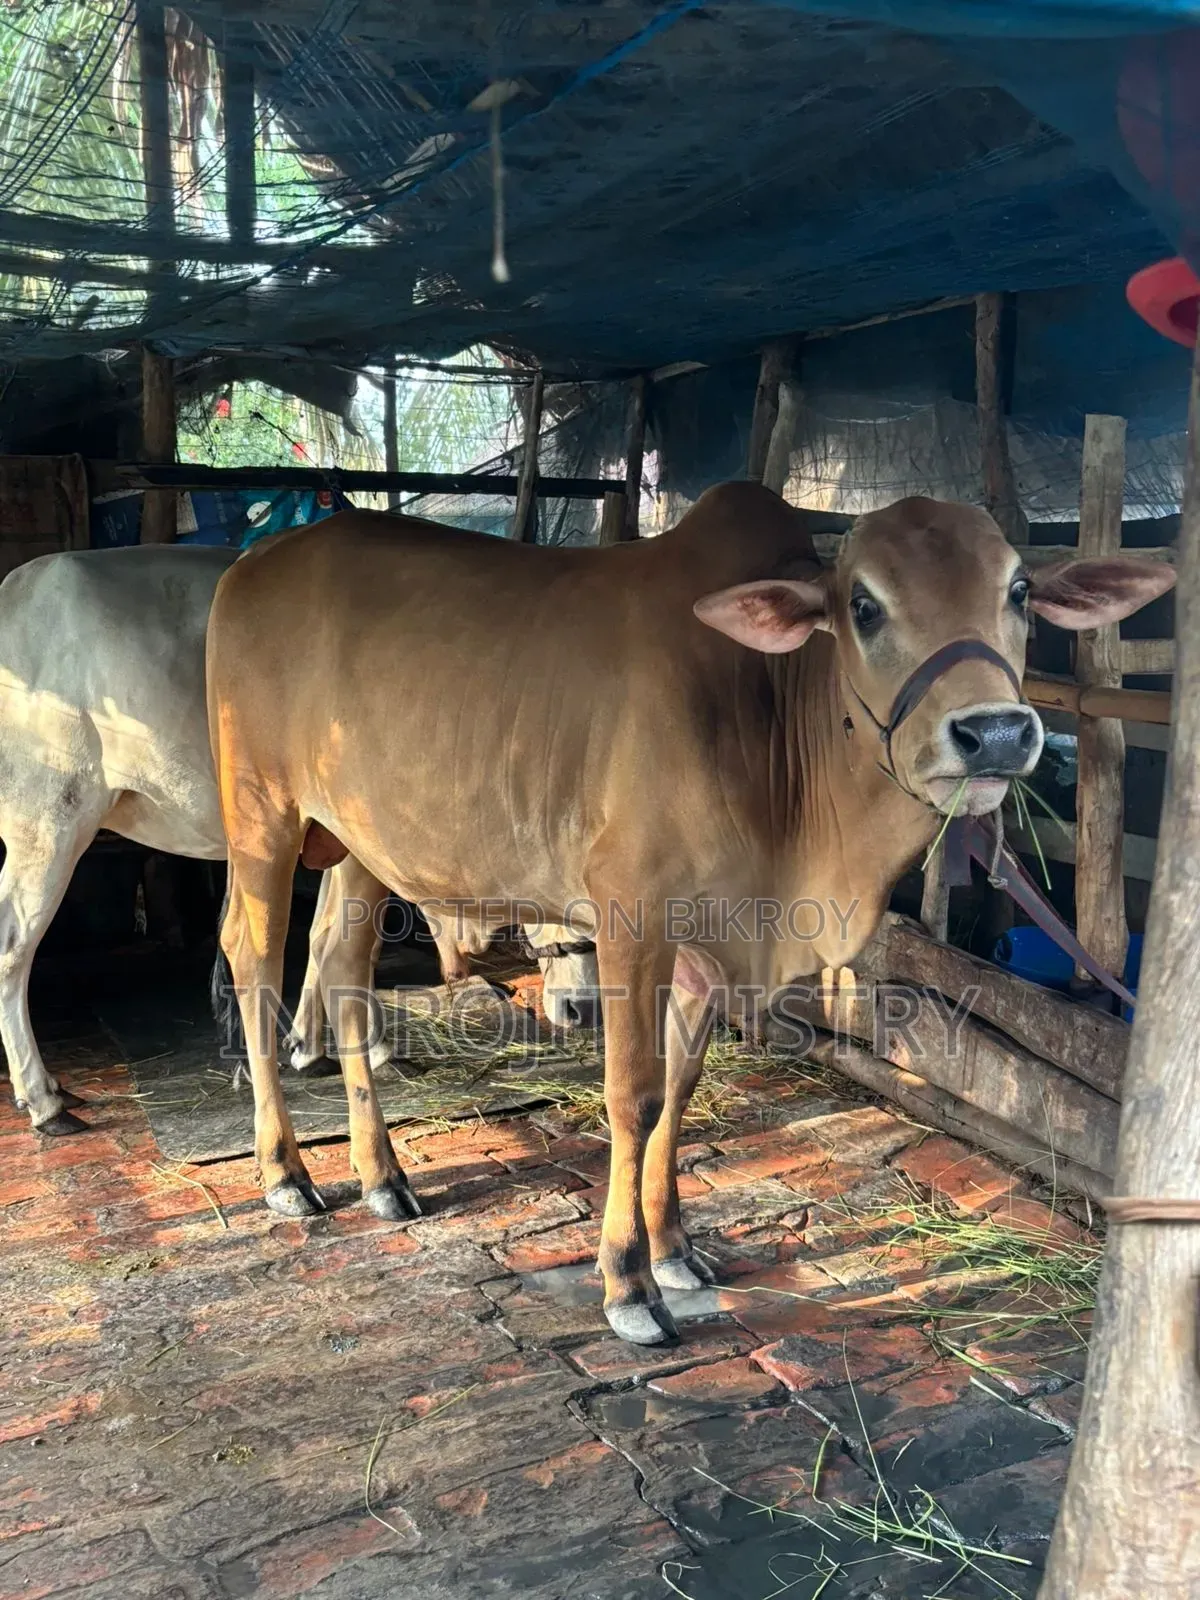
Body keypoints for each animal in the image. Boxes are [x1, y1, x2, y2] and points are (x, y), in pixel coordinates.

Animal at [0, 545, 584, 1138]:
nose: (580, 1009)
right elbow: (354, 945)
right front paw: (373, 1050)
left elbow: (324, 939)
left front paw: (308, 1045)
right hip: (47, 820)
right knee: (13, 947)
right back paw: (43, 1101)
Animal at [205, 484, 1173, 1343]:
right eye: (863, 604)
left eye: (1019, 589)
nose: (997, 732)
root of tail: (252, 562)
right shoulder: (634, 916)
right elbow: (632, 1096)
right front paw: (627, 1284)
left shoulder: (711, 937)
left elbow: (680, 1084)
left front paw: (674, 1250)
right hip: (262, 818)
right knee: (254, 961)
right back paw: (285, 1171)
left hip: (361, 845)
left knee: (342, 969)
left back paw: (381, 1175)